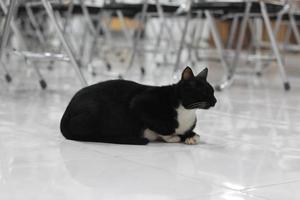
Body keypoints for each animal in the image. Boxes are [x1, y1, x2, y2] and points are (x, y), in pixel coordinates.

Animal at [60, 67, 216, 145]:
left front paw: (191, 136)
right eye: (204, 92)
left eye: (213, 92)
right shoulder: (139, 103)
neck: (186, 111)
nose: (215, 101)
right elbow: (161, 126)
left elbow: (193, 133)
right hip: (93, 110)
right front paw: (172, 137)